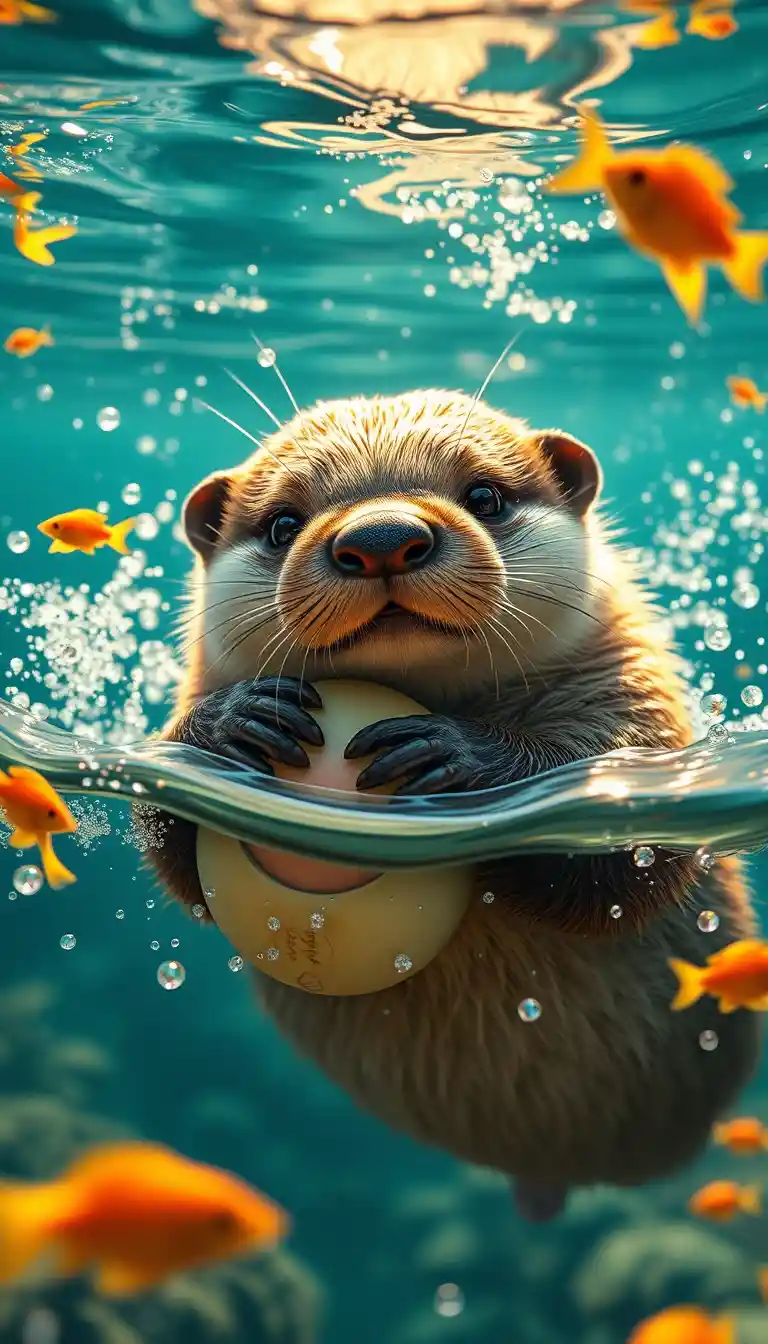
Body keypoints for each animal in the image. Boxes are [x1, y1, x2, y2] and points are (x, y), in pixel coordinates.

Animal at [145, 389, 760, 1220]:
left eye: (485, 496)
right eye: (280, 523)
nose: (381, 538)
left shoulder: (640, 715)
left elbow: (632, 869)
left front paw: (454, 756)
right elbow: (176, 854)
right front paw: (232, 724)